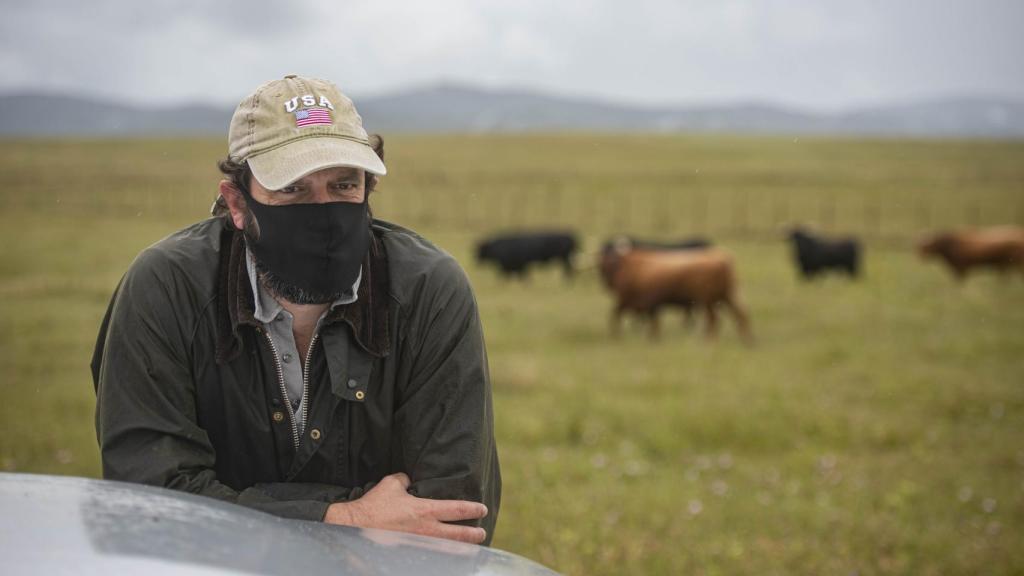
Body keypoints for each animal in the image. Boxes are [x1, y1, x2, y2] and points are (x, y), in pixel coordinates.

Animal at [598, 241, 753, 340]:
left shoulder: (643, 302)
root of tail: (722, 259)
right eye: (602, 265)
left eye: (607, 265)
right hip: (728, 295)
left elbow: (650, 323)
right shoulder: (641, 304)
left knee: (714, 319)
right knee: (741, 314)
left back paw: (710, 340)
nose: (606, 283)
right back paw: (747, 340)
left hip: (708, 300)